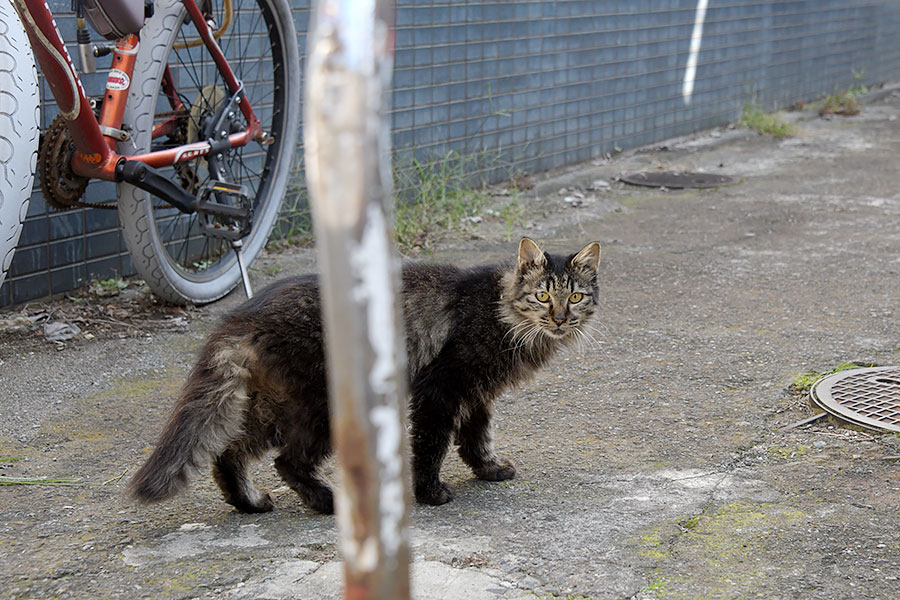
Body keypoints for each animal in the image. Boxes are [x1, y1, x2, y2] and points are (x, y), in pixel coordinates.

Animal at [126, 237, 600, 512]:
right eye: (543, 296)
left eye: (575, 296)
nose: (560, 319)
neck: (502, 312)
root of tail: (241, 315)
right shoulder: (440, 390)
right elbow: (432, 447)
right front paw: (429, 493)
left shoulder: (476, 394)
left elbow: (476, 438)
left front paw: (488, 469)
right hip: (317, 407)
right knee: (286, 461)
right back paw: (325, 501)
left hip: (276, 405)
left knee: (229, 451)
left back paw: (249, 503)